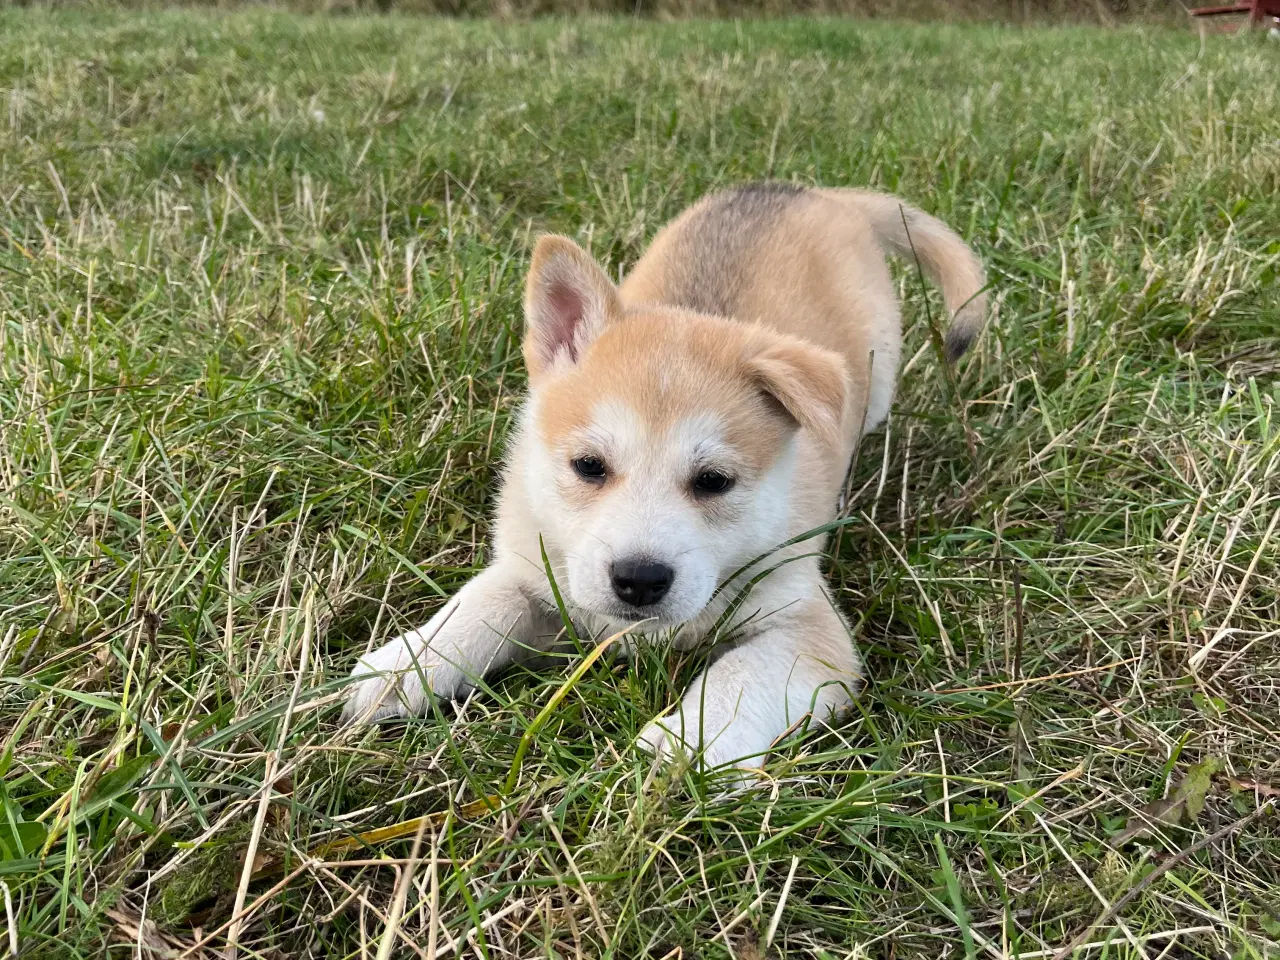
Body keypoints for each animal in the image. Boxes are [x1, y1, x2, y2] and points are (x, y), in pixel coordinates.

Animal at [343, 184, 988, 773]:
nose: (638, 580)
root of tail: (812, 190)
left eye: (714, 481)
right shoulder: (539, 568)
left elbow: (738, 677)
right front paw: (402, 667)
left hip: (875, 377)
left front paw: (688, 745)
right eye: (588, 467)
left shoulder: (809, 629)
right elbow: (481, 604)